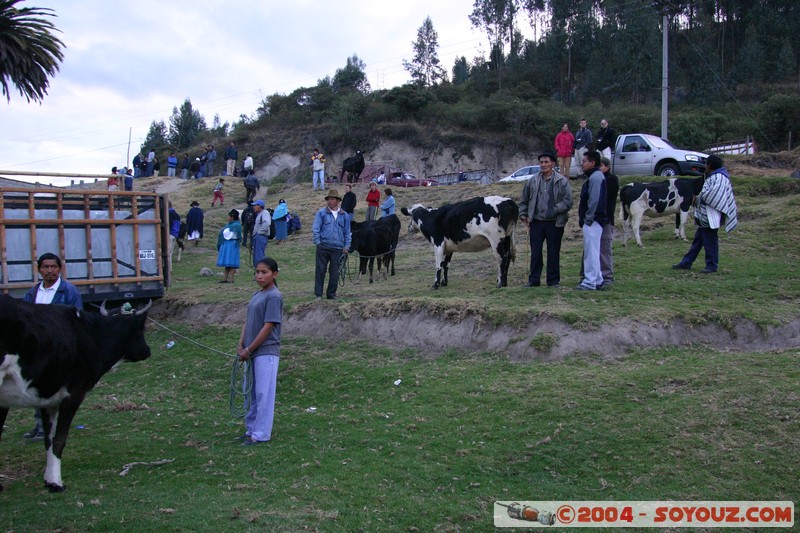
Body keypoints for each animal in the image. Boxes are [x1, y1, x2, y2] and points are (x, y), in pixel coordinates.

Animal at [0, 296, 152, 490]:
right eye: (140, 329)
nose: (147, 350)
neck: (90, 335)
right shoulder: (73, 394)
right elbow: (59, 439)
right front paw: (56, 483)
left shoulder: (48, 400)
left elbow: (49, 439)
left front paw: (48, 479)